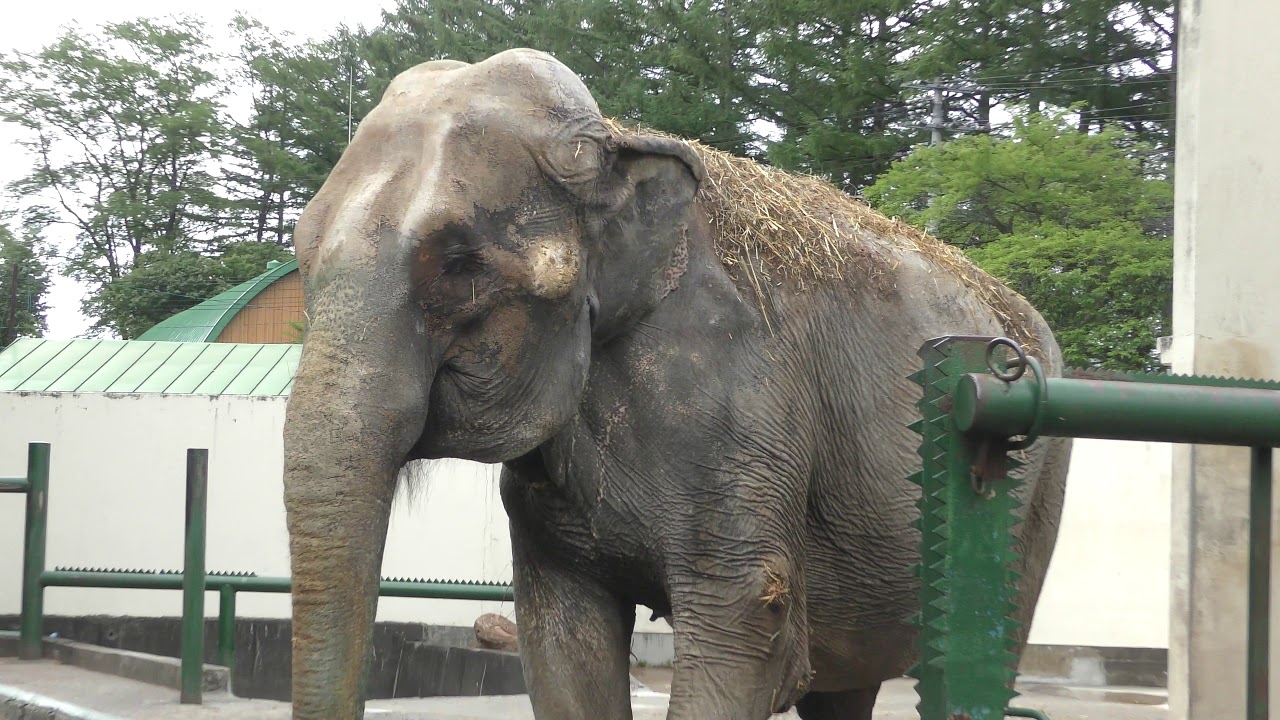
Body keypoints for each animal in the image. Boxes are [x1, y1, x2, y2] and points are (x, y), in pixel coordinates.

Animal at [281, 47, 1071, 720]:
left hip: (1032, 481)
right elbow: (562, 644)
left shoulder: (742, 395)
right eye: (302, 250)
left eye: (458, 263)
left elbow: (749, 624)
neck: (620, 138)